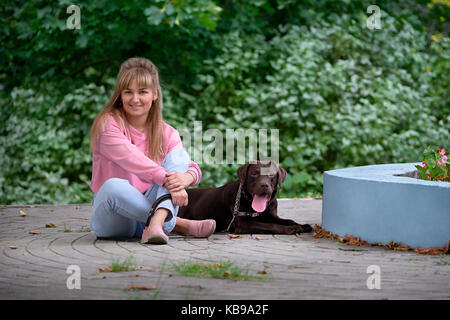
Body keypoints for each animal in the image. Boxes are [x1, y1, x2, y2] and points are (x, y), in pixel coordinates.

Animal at [178, 161, 312, 234]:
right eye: (254, 174)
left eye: (271, 175)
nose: (264, 185)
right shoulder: (243, 224)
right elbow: (270, 225)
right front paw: (290, 229)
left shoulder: (272, 216)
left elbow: (288, 220)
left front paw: (302, 225)